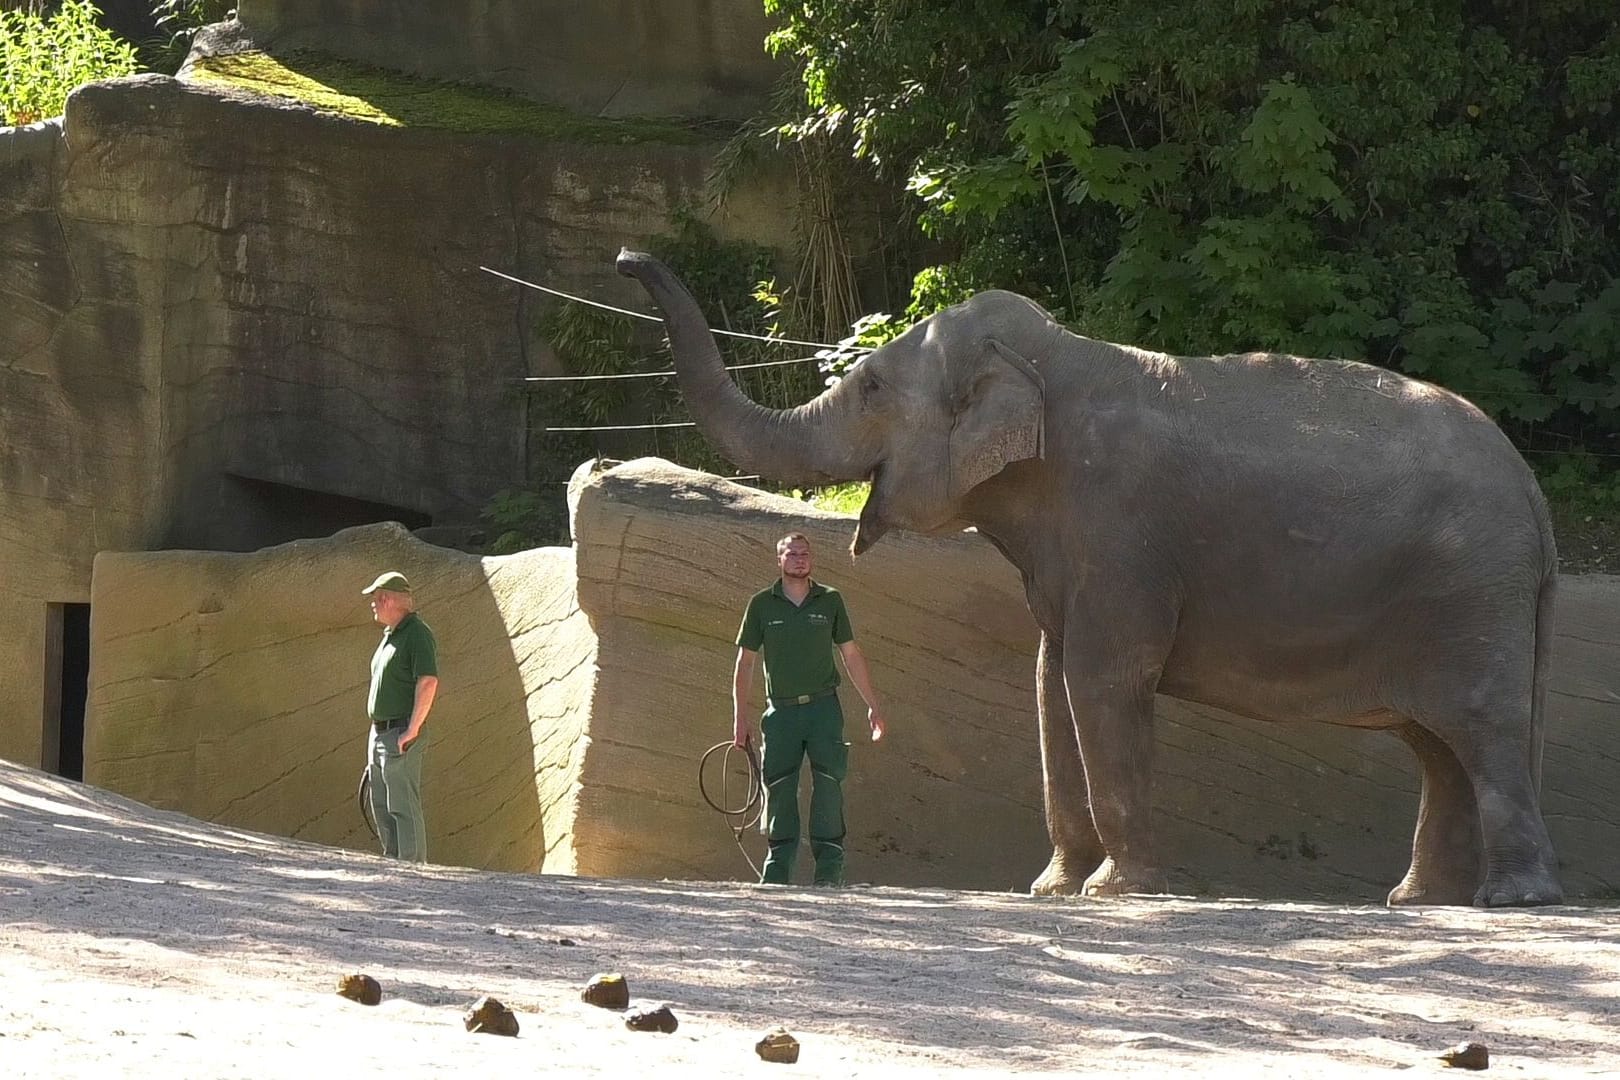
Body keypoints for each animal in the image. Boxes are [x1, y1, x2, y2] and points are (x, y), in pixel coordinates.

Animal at [612, 249, 1561, 906]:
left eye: (873, 385)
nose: (625, 262)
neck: (1055, 356)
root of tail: (1534, 496)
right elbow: (1048, 682)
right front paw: (1054, 890)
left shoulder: (1120, 532)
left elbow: (1102, 681)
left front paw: (1115, 891)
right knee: (1438, 747)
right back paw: (1421, 899)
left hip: (1471, 591)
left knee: (1480, 728)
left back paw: (1511, 899)